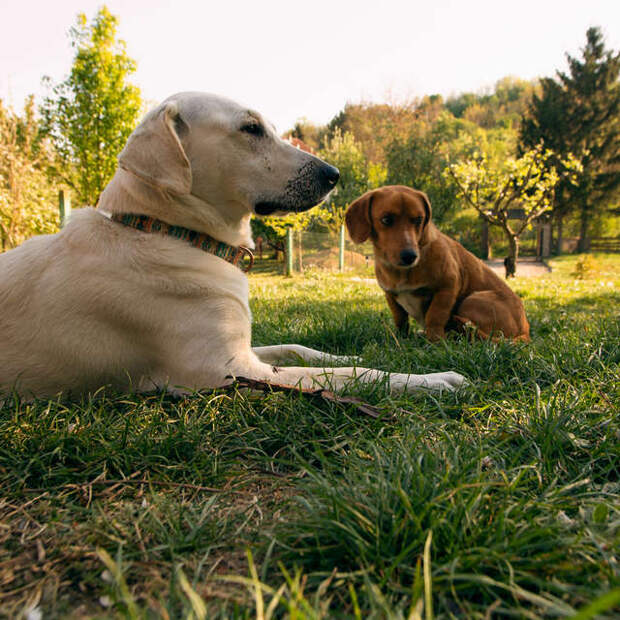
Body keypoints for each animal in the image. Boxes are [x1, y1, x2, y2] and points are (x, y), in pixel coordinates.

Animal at [0, 93, 464, 402]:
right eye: (250, 129)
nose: (333, 174)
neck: (166, 232)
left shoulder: (244, 351)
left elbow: (303, 349)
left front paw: (353, 349)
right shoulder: (227, 371)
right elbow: (349, 375)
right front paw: (430, 380)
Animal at [344, 184, 528, 342]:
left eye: (419, 219)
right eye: (386, 219)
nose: (410, 256)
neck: (402, 272)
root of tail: (525, 331)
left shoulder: (447, 287)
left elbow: (435, 316)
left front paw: (435, 341)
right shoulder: (390, 295)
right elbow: (400, 319)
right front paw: (401, 339)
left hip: (473, 299)